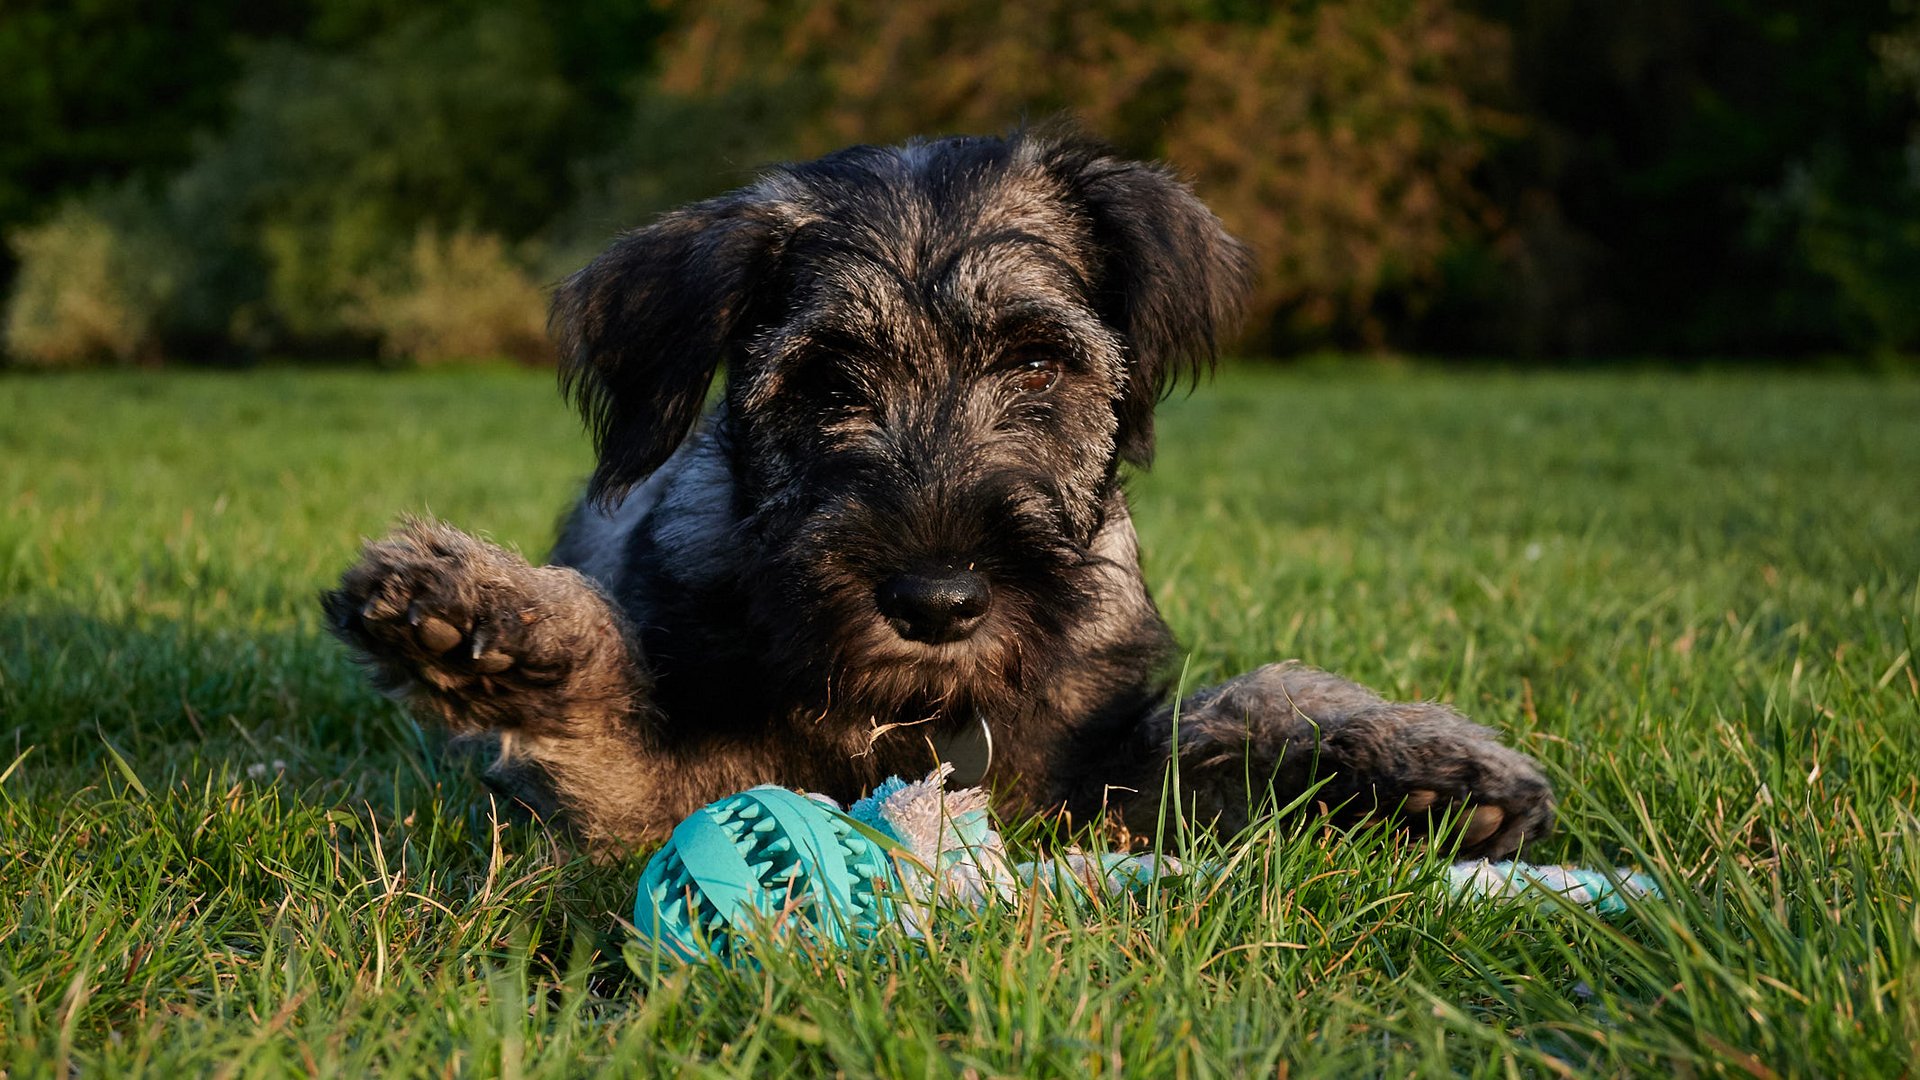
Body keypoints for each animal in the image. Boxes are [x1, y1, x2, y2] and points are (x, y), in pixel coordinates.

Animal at [326, 119, 1559, 857]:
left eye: (1040, 364)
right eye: (825, 380)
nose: (937, 602)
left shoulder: (1088, 778)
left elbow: (1242, 705)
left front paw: (1418, 767)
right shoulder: (666, 792)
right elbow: (607, 715)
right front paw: (491, 619)